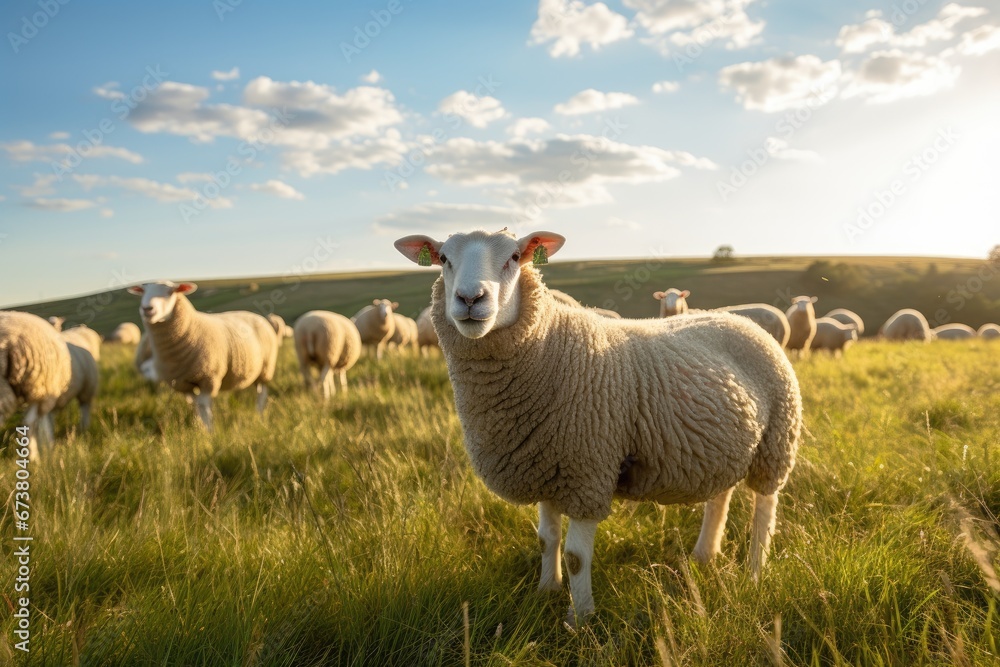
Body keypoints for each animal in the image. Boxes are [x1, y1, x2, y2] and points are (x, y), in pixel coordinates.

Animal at [126, 281, 279, 430]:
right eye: (143, 292)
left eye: (171, 291)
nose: (147, 309)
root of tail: (255, 315)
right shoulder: (183, 384)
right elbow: (195, 405)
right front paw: (198, 425)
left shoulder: (208, 378)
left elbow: (204, 406)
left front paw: (209, 431)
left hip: (266, 369)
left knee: (261, 394)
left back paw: (260, 415)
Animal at [395, 229, 801, 625]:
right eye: (444, 258)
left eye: (513, 257)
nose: (469, 298)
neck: (548, 346)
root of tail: (741, 321)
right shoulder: (545, 463)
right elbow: (546, 539)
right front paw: (546, 590)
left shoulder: (586, 473)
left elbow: (576, 556)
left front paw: (580, 618)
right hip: (724, 445)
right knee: (720, 497)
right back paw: (704, 555)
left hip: (775, 442)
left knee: (765, 509)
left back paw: (754, 571)